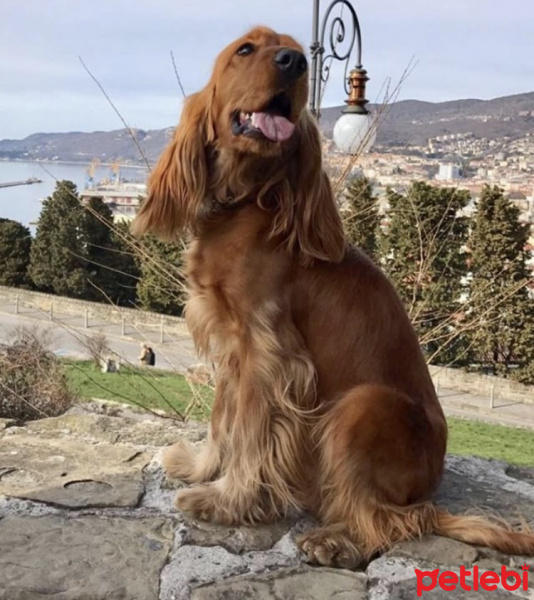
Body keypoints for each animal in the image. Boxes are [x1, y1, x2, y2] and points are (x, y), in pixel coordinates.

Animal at [132, 24, 532, 568]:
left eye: (297, 51)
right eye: (246, 49)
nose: (294, 62)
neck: (245, 202)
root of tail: (430, 488)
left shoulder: (268, 354)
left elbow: (249, 433)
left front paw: (228, 501)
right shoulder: (231, 346)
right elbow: (222, 422)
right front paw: (200, 467)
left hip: (360, 406)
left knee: (394, 519)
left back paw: (336, 539)